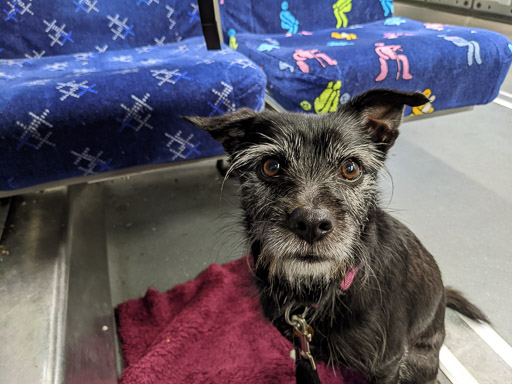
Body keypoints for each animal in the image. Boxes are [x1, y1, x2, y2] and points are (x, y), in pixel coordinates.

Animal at [184, 88, 488, 382]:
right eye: (271, 166)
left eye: (350, 168)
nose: (311, 224)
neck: (316, 293)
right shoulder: (299, 342)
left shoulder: (388, 363)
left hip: (416, 361)